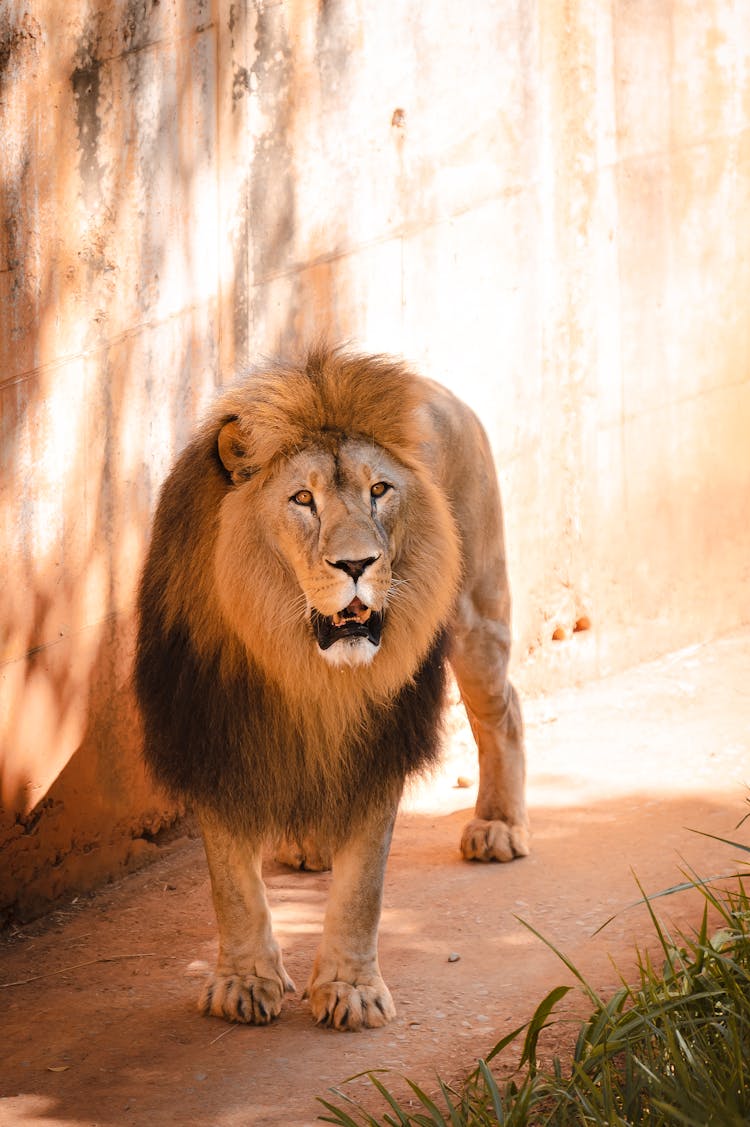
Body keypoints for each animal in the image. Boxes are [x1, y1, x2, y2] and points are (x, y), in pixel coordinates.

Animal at [135, 347, 525, 1032]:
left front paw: (350, 990)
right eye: (302, 499)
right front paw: (243, 983)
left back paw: (498, 826)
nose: (356, 564)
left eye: (379, 490)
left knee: (505, 711)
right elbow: (231, 882)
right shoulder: (212, 730)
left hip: (477, 608)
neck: (303, 666)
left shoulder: (384, 739)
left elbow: (363, 885)